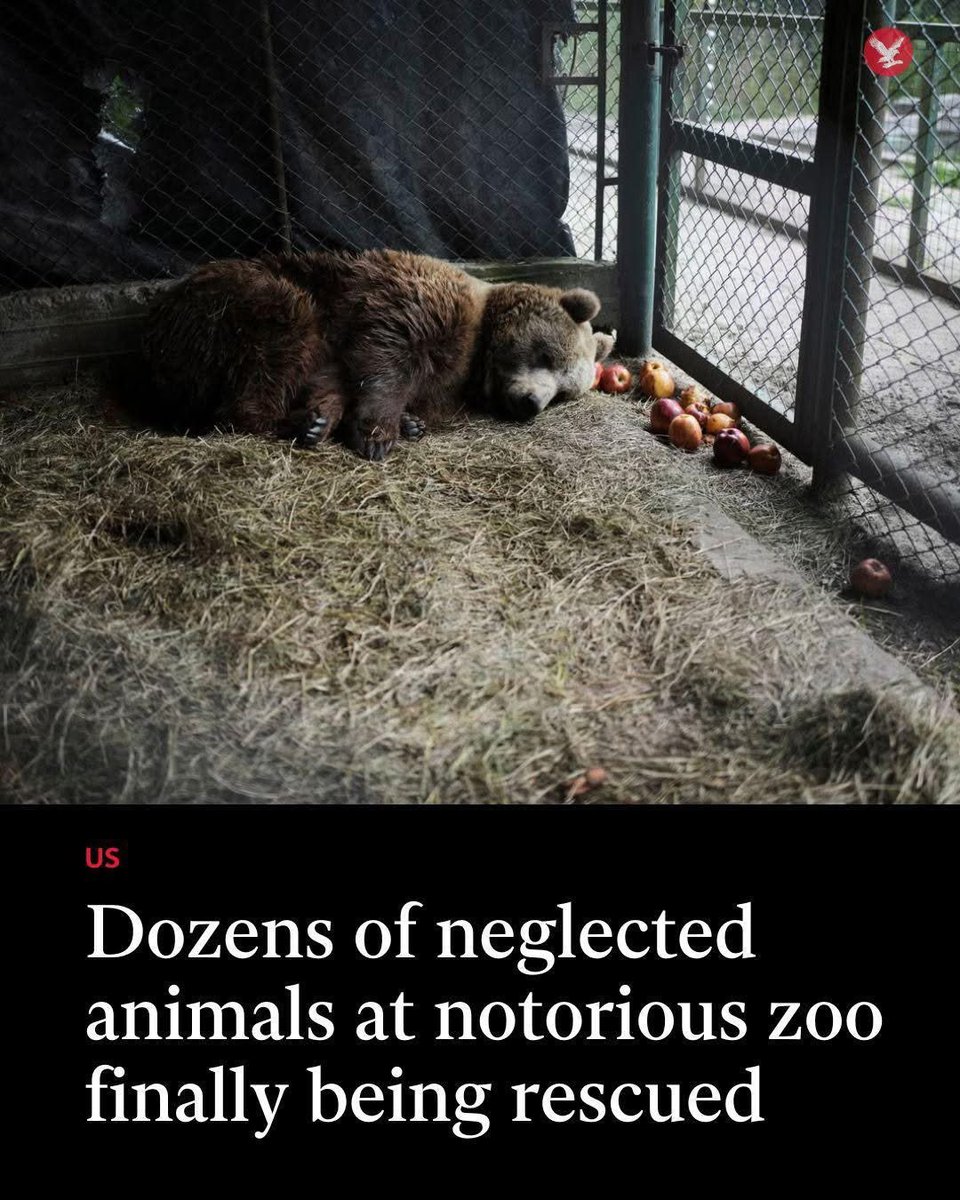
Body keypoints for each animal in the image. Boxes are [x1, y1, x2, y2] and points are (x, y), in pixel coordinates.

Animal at [140, 250, 615, 461]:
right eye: (548, 355)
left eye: (563, 394)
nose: (530, 403)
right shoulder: (413, 306)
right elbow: (386, 356)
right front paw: (378, 432)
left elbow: (336, 377)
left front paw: (403, 421)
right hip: (234, 304)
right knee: (279, 337)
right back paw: (287, 421)